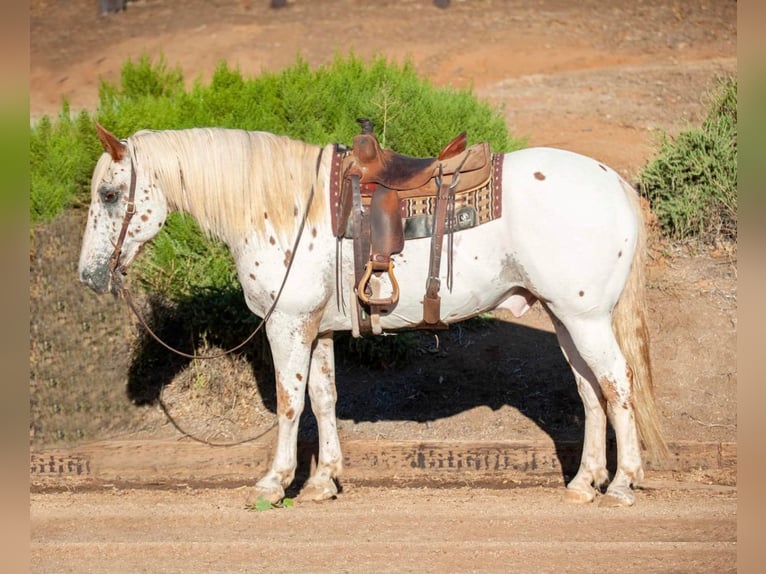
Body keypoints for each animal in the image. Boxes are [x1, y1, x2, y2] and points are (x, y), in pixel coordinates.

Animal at [76, 122, 664, 508]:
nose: (89, 275)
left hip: (586, 320)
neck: (281, 208)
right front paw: (323, 481)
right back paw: (584, 483)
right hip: (566, 319)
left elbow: (290, 404)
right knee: (590, 391)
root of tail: (613, 182)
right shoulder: (317, 329)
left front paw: (275, 482)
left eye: (109, 194)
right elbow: (323, 399)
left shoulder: (288, 325)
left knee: (618, 385)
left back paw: (623, 483)